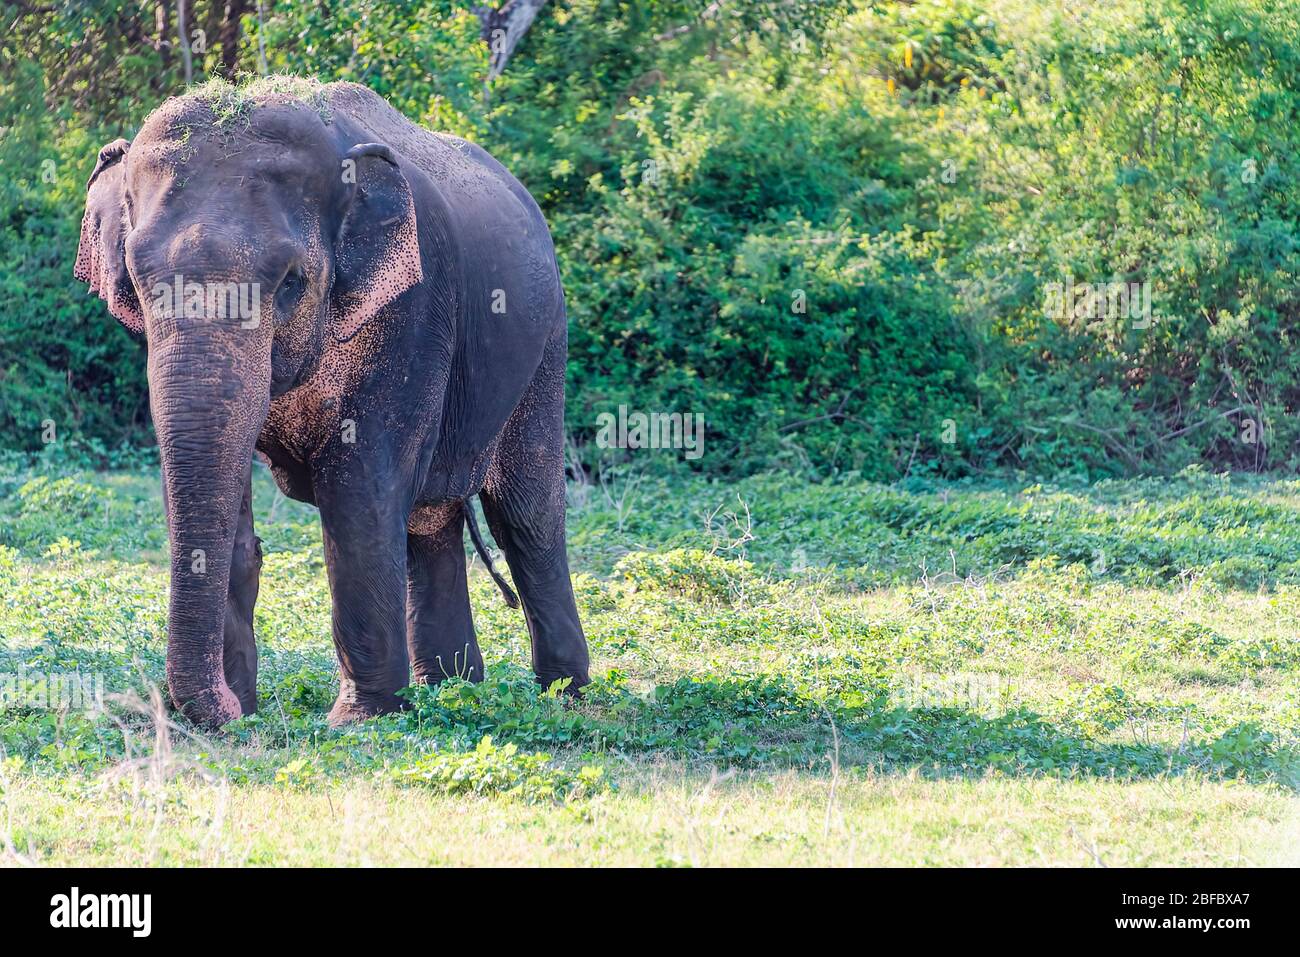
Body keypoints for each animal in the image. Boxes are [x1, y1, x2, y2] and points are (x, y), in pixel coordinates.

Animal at [74, 78, 591, 728]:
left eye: (291, 281)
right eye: (138, 283)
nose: (223, 713)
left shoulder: (411, 309)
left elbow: (359, 489)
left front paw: (358, 721)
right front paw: (245, 710)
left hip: (546, 345)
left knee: (524, 513)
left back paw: (564, 698)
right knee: (430, 521)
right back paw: (452, 692)